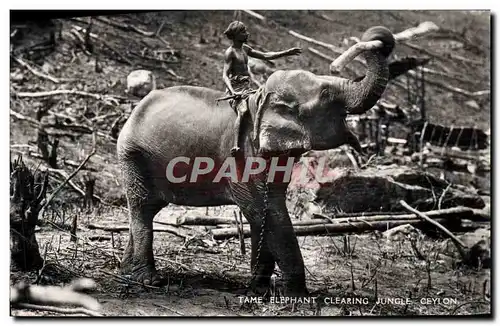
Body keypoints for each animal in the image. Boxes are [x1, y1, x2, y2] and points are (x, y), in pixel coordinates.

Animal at [116, 25, 394, 296]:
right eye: (326, 94)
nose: (375, 41)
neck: (260, 99)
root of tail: (136, 108)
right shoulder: (243, 157)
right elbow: (265, 211)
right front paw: (297, 296)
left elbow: (263, 213)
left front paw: (258, 290)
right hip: (133, 154)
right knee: (142, 206)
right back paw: (149, 280)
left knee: (148, 207)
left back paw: (127, 271)